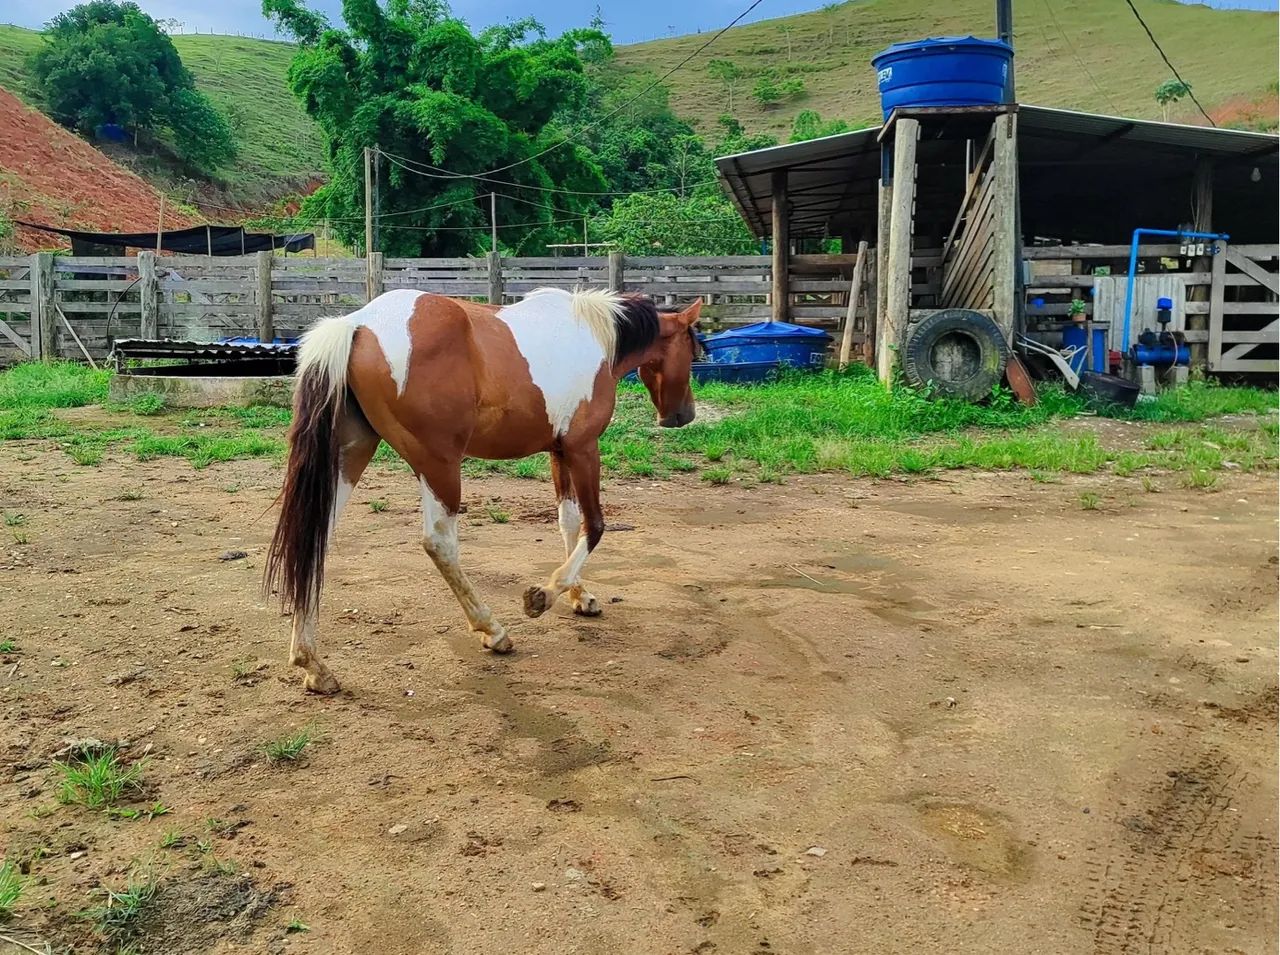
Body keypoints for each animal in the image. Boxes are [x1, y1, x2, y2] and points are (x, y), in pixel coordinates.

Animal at [265, 286, 702, 694]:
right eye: (694, 350)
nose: (683, 416)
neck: (595, 335)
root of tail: (356, 324)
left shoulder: (559, 451)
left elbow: (568, 521)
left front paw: (580, 596)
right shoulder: (583, 448)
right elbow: (593, 526)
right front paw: (544, 596)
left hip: (350, 456)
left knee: (314, 540)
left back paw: (312, 665)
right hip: (439, 466)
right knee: (440, 544)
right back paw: (493, 630)